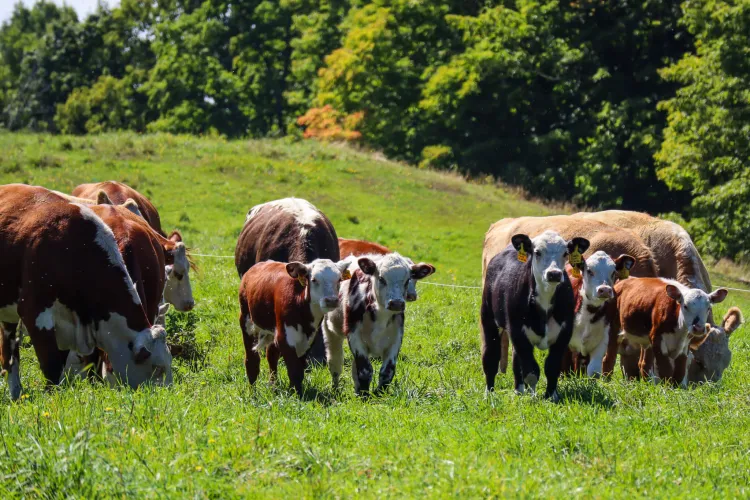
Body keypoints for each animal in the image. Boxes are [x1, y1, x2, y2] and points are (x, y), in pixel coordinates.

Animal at [0, 184, 172, 400]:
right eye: (158, 368)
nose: (169, 395)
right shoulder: (35, 312)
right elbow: (52, 365)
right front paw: (53, 398)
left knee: (9, 351)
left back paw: (15, 393)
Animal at [239, 259, 350, 395]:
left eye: (339, 279)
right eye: (314, 279)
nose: (331, 300)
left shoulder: (308, 339)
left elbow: (299, 370)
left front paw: (295, 391)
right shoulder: (285, 338)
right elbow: (294, 371)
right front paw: (296, 395)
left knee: (271, 355)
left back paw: (273, 385)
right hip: (246, 321)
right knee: (252, 360)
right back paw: (252, 390)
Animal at [322, 253, 435, 394]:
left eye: (408, 280)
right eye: (381, 278)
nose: (396, 303)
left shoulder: (396, 338)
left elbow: (387, 371)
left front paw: (380, 393)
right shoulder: (354, 335)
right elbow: (365, 370)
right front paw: (365, 395)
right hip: (330, 333)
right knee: (335, 364)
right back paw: (336, 389)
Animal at [481, 230, 590, 401]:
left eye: (565, 253)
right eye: (537, 252)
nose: (554, 274)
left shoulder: (564, 333)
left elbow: (551, 367)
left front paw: (551, 396)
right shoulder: (518, 331)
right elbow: (531, 371)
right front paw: (533, 397)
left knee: (516, 361)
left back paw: (519, 391)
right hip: (489, 319)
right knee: (491, 357)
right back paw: (490, 393)